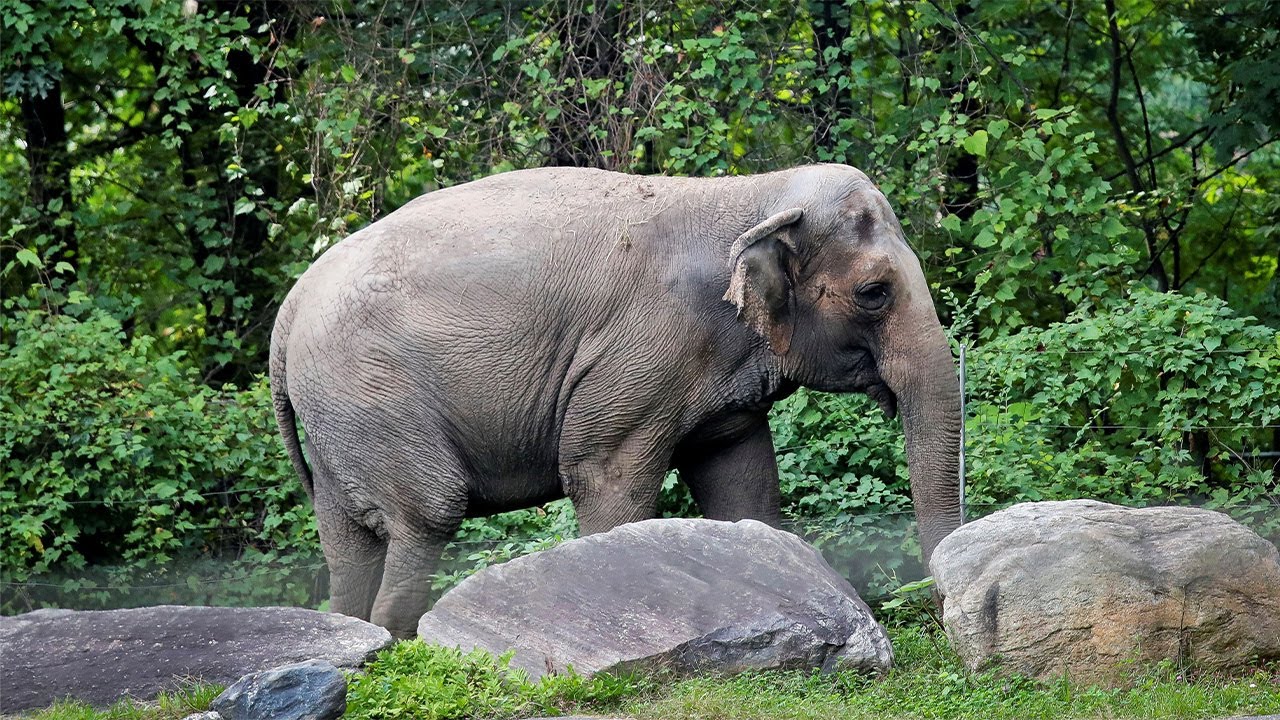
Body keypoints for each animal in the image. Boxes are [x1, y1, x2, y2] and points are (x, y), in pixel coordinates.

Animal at [269, 164, 962, 638]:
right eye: (873, 293)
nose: (938, 613)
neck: (752, 194)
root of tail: (290, 307)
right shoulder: (642, 354)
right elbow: (606, 477)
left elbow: (743, 483)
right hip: (372, 395)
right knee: (427, 514)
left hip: (337, 419)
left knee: (348, 541)